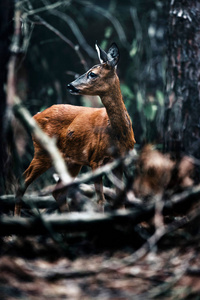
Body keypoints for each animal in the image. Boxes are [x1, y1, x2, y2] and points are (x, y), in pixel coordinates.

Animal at [14, 42, 136, 216]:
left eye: (92, 74)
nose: (69, 85)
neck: (117, 133)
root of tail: (35, 116)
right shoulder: (95, 159)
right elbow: (100, 200)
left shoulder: (120, 162)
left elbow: (120, 200)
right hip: (43, 151)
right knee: (22, 181)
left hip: (72, 161)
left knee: (58, 191)